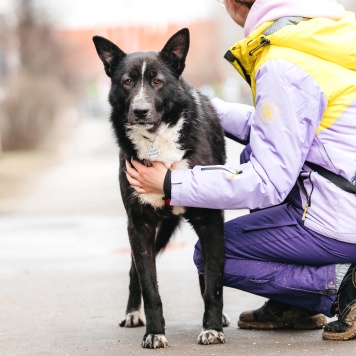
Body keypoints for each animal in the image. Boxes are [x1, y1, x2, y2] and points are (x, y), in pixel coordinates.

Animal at [93, 27, 228, 348]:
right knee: (135, 272)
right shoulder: (139, 225)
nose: (140, 111)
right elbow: (149, 286)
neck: (157, 142)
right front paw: (154, 332)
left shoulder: (210, 220)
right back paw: (132, 313)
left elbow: (214, 283)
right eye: (127, 81)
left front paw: (212, 328)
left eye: (157, 81)